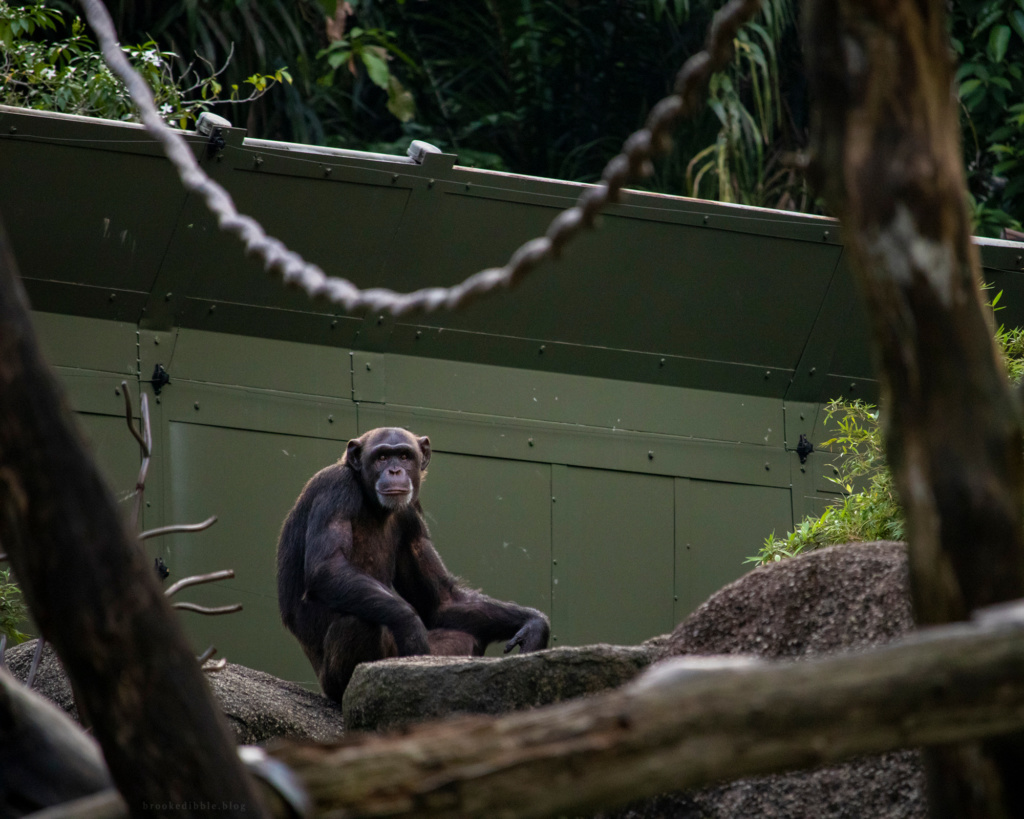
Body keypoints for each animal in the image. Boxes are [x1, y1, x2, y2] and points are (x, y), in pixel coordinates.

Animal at [274, 425, 552, 700]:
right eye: (381, 457)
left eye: (405, 456)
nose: (395, 470)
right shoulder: (335, 488)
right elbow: (327, 567)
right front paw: (411, 629)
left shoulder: (412, 516)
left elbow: (441, 601)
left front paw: (534, 626)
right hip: (330, 680)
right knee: (359, 622)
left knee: (463, 634)